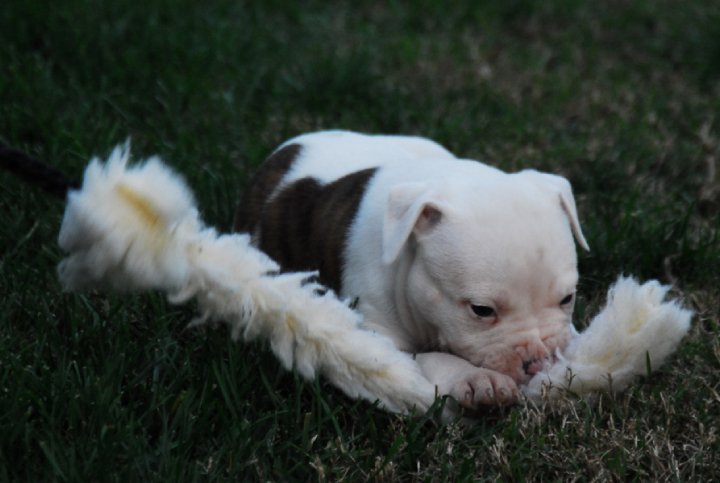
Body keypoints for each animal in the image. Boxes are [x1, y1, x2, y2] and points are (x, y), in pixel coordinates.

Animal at [236, 130, 592, 408]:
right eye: (481, 310)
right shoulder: (378, 337)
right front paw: (477, 379)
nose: (540, 362)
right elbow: (430, 358)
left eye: (567, 298)